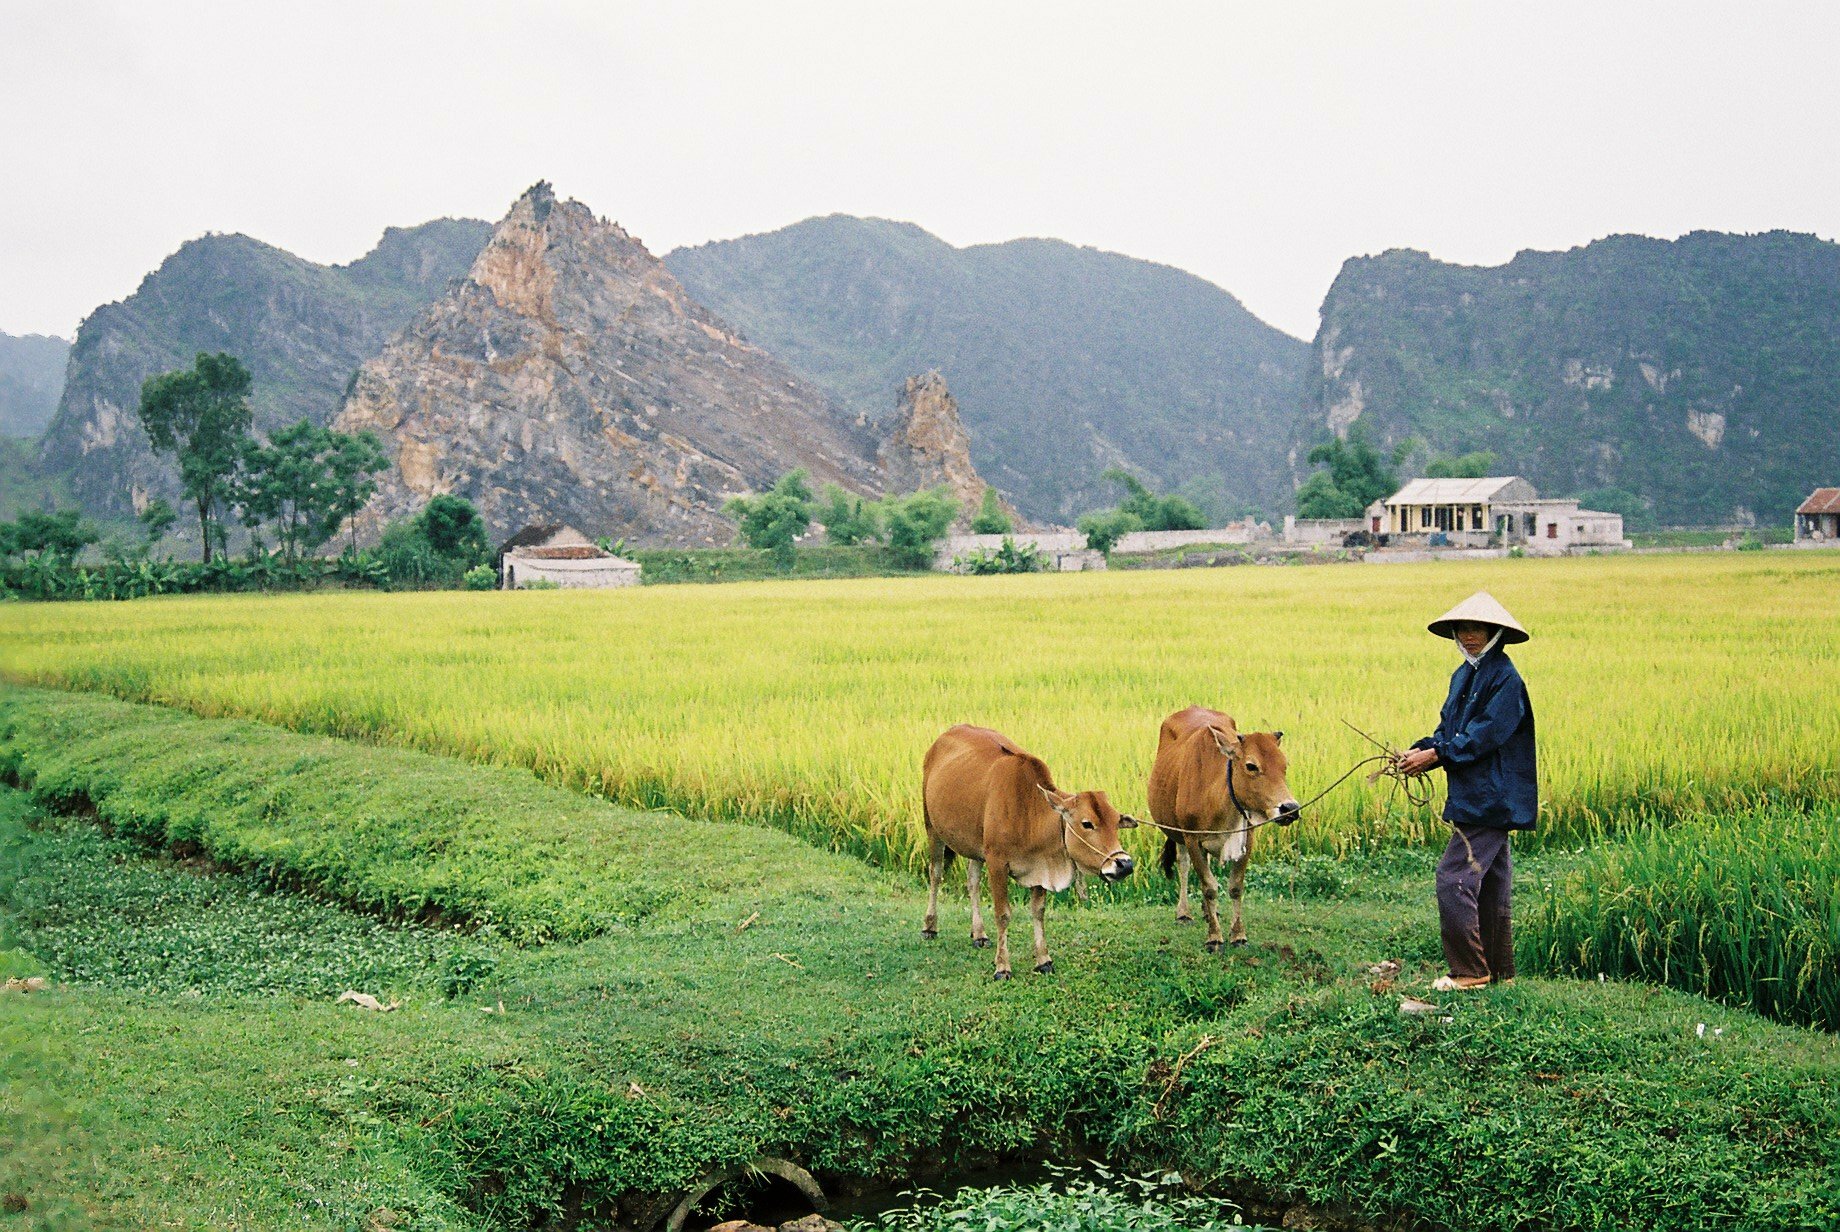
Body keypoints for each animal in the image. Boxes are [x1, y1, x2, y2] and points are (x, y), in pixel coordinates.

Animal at [920, 724, 1133, 985]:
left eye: (1116, 822)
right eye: (1087, 824)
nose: (1124, 864)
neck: (1028, 813)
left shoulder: (1040, 869)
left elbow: (1038, 912)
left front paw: (1044, 961)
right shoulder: (997, 863)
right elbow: (1003, 915)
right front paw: (1002, 967)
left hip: (975, 846)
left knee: (972, 882)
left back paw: (979, 933)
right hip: (932, 828)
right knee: (935, 874)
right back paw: (930, 927)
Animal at [1140, 706, 1302, 956]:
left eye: (1284, 765)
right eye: (1251, 766)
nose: (1290, 809)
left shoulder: (1247, 838)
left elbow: (1235, 887)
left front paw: (1238, 935)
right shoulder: (1191, 838)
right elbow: (1209, 886)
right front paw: (1214, 938)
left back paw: (1210, 913)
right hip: (1178, 834)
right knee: (1184, 866)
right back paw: (1184, 913)